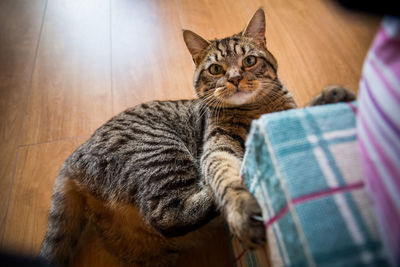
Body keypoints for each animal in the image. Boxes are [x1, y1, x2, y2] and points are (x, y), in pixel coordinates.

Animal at [39, 8, 354, 267]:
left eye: (249, 61)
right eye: (216, 69)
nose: (235, 78)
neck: (257, 109)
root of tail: (74, 158)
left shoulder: (283, 114)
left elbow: (301, 109)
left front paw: (332, 95)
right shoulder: (216, 147)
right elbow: (225, 177)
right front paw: (241, 208)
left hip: (142, 245)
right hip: (163, 154)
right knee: (165, 214)